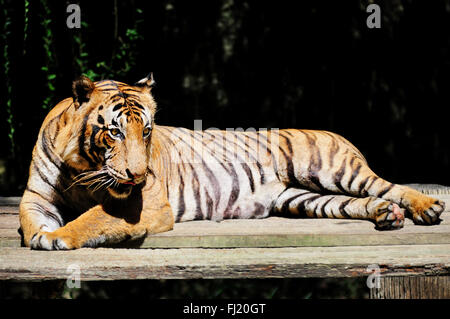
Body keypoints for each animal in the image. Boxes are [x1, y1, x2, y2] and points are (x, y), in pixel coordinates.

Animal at [19, 74, 444, 250]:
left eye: (147, 131)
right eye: (115, 132)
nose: (137, 174)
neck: (82, 169)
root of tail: (336, 133)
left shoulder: (143, 202)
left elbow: (92, 219)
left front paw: (57, 237)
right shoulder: (36, 196)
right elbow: (31, 218)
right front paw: (42, 233)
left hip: (335, 169)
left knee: (389, 186)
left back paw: (427, 208)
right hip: (301, 198)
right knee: (357, 202)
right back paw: (386, 215)